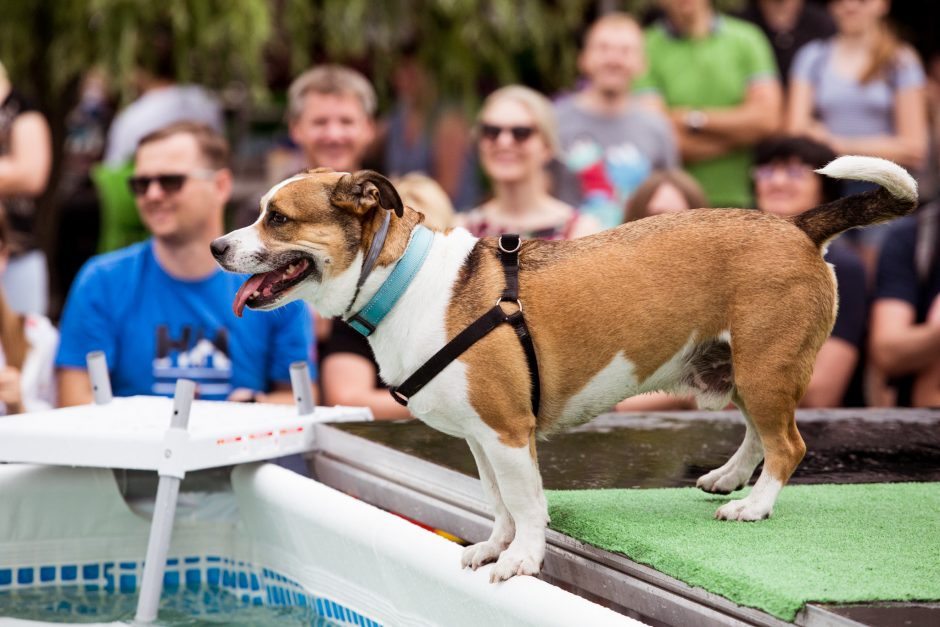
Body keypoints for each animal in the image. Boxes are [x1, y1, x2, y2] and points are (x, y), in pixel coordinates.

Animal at [211, 156, 916, 584]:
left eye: (277, 218)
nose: (217, 246)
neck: (401, 280)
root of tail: (796, 226)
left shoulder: (506, 432)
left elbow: (526, 503)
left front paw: (522, 560)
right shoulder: (482, 440)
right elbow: (498, 502)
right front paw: (495, 545)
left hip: (767, 366)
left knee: (788, 444)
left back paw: (757, 505)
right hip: (742, 368)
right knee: (757, 435)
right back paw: (731, 478)